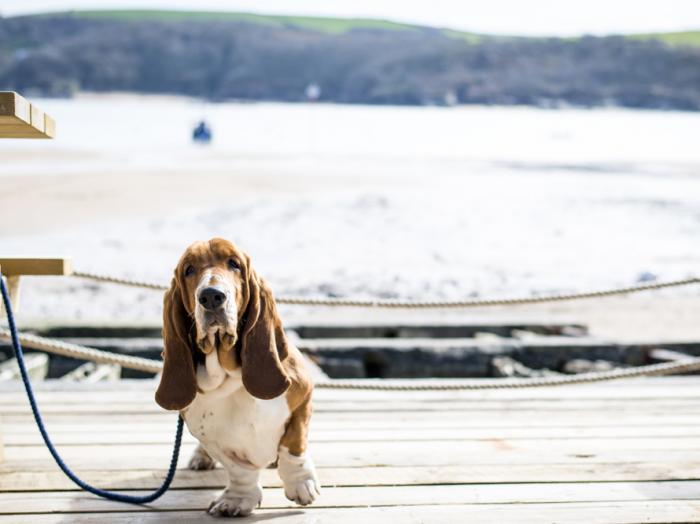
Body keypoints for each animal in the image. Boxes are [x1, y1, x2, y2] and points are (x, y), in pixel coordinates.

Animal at [155, 239, 320, 516]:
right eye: (188, 269)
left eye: (234, 263)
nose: (211, 296)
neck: (229, 374)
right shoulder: (209, 436)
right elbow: (238, 469)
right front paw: (237, 500)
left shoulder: (303, 396)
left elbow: (293, 444)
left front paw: (301, 484)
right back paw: (201, 458)